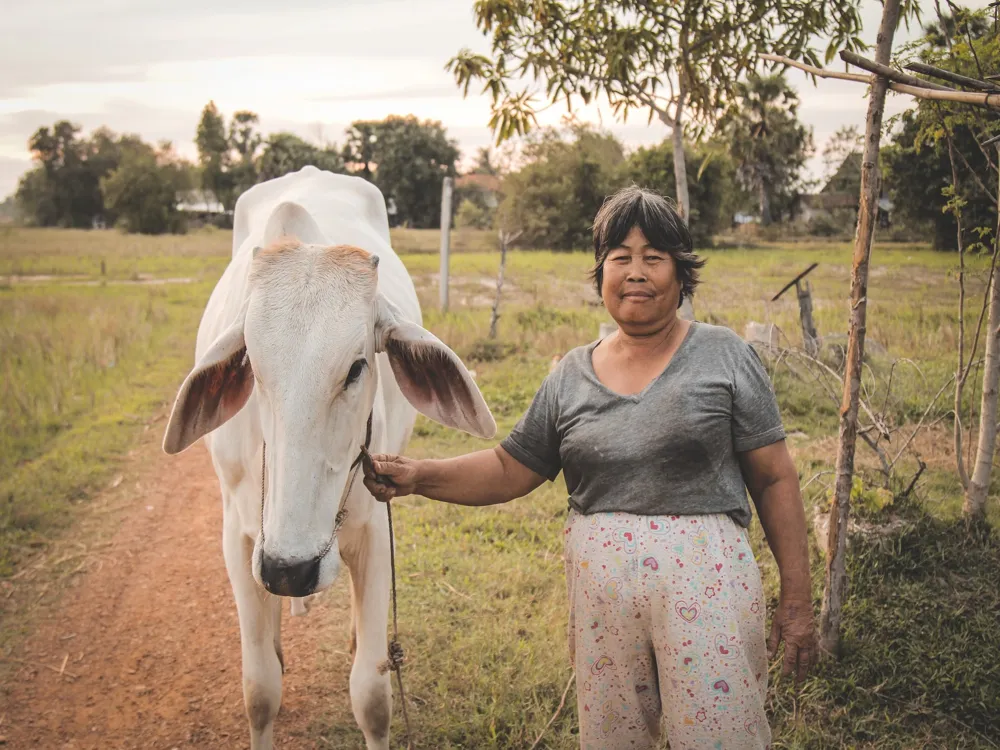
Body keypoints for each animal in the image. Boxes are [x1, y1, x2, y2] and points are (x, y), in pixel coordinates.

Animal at [161, 169, 500, 750]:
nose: (290, 569)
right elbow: (260, 690)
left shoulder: (375, 530)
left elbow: (372, 696)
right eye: (252, 365)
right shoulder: (239, 537)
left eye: (357, 366)